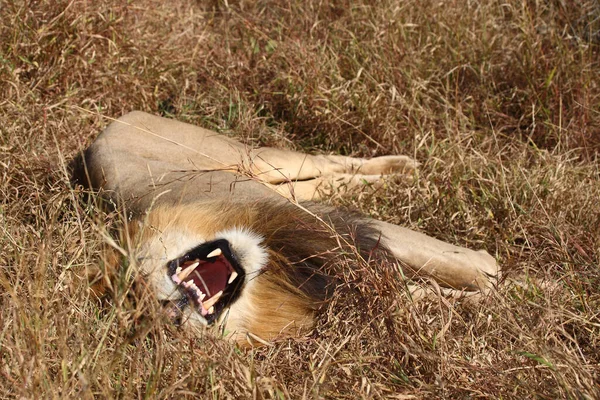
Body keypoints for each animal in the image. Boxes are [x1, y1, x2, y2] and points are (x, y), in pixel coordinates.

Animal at [72, 110, 500, 346]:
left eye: (137, 282)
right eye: (164, 327)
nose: (173, 310)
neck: (271, 267)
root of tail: (100, 135)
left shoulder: (344, 234)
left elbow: (471, 265)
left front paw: (509, 285)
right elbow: (426, 294)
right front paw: (484, 300)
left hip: (250, 157)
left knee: (326, 162)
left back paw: (405, 168)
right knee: (326, 181)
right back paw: (402, 176)